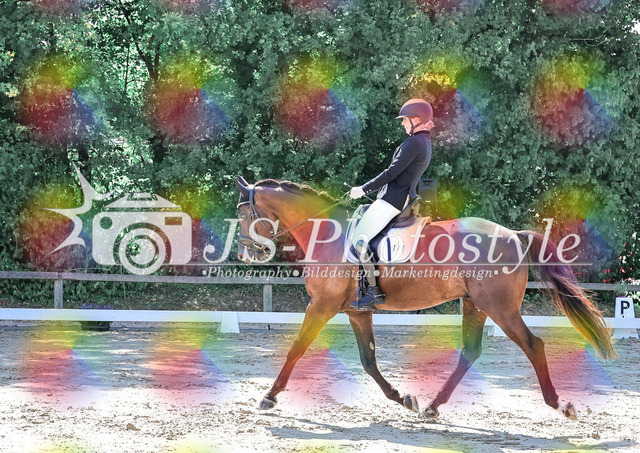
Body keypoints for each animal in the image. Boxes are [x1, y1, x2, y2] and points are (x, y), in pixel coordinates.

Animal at [233, 176, 617, 420]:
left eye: (243, 213)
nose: (246, 254)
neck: (327, 231)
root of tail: (513, 235)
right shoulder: (356, 312)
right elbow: (368, 361)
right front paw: (403, 399)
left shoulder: (322, 306)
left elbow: (296, 348)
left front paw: (268, 396)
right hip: (475, 304)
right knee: (470, 351)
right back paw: (432, 406)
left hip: (500, 308)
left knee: (533, 345)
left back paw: (560, 405)